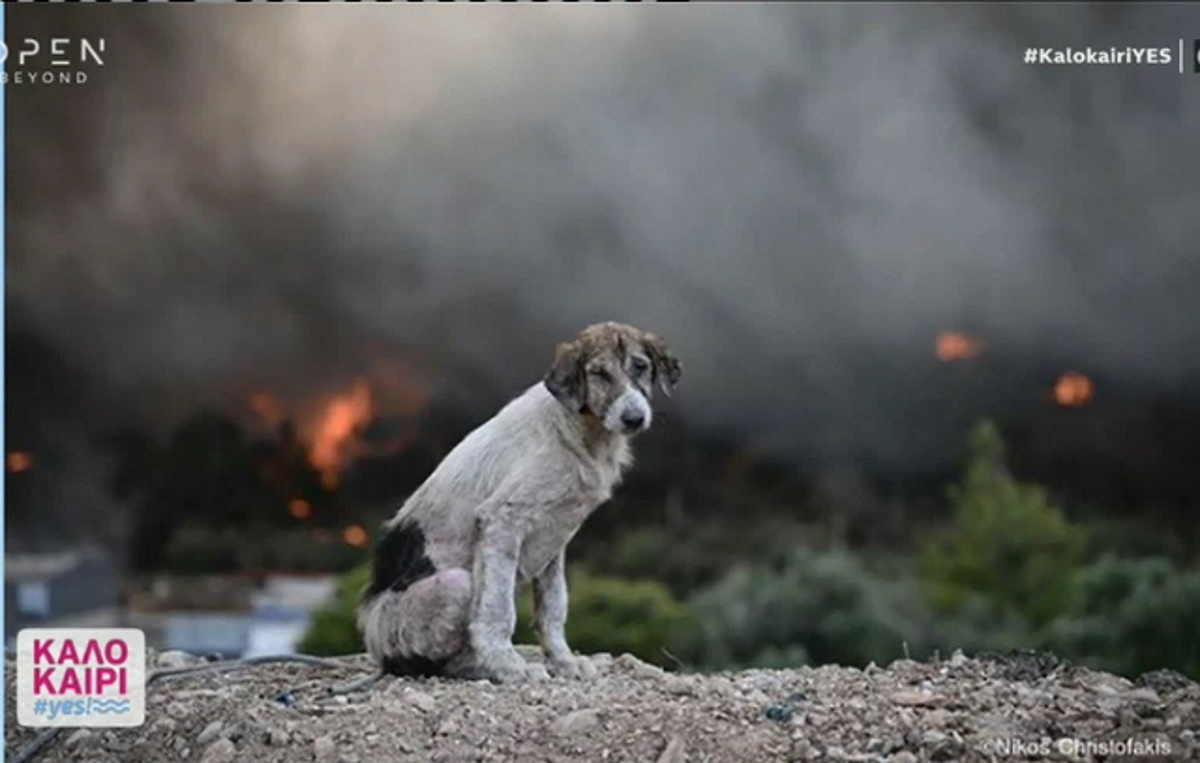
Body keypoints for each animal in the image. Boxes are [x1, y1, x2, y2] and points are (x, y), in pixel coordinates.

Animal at [355, 321, 681, 686]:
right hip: (455, 585)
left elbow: (554, 607)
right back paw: (483, 668)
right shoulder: (502, 520)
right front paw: (509, 667)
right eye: (599, 374)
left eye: (640, 366)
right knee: (438, 662)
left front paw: (564, 662)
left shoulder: (555, 537)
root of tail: (380, 656)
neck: (581, 431)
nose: (634, 418)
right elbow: (497, 611)